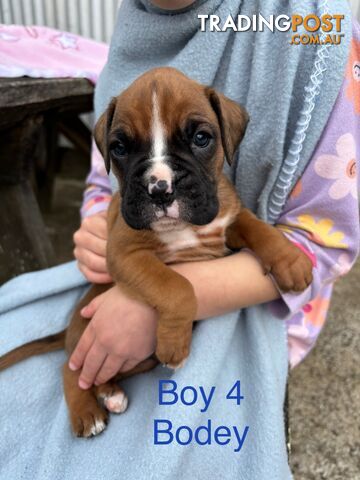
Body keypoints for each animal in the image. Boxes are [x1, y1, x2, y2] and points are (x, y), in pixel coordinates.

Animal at [0, 67, 312, 438]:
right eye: (120, 148)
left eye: (201, 138)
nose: (160, 188)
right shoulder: (125, 254)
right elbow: (176, 286)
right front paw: (175, 345)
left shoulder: (228, 220)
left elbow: (258, 226)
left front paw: (291, 261)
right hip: (90, 348)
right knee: (70, 370)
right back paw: (87, 413)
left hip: (137, 360)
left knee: (101, 375)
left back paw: (111, 393)